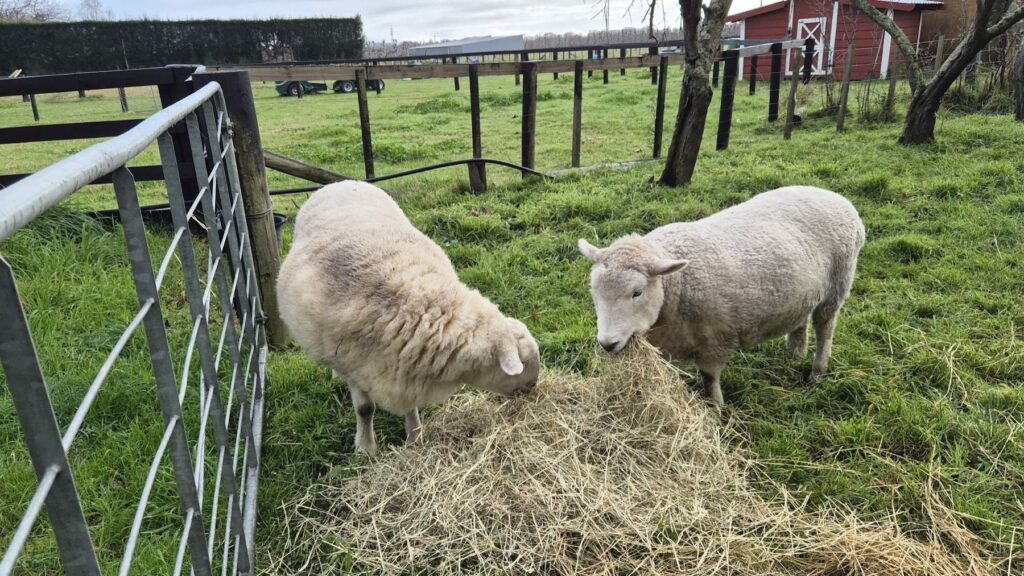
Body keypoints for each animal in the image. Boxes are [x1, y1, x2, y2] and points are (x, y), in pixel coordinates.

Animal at [278, 181, 540, 454]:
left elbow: (410, 406)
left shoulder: (407, 370)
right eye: (522, 361)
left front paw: (415, 435)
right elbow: (365, 409)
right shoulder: (355, 367)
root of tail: (343, 183)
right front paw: (366, 448)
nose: (533, 387)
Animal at [578, 185, 865, 405]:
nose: (607, 344)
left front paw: (716, 408)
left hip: (836, 287)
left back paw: (817, 372)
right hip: (803, 292)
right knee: (800, 321)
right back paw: (795, 355)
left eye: (637, 292)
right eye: (594, 292)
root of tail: (835, 197)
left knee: (825, 329)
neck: (677, 286)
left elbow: (709, 378)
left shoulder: (716, 340)